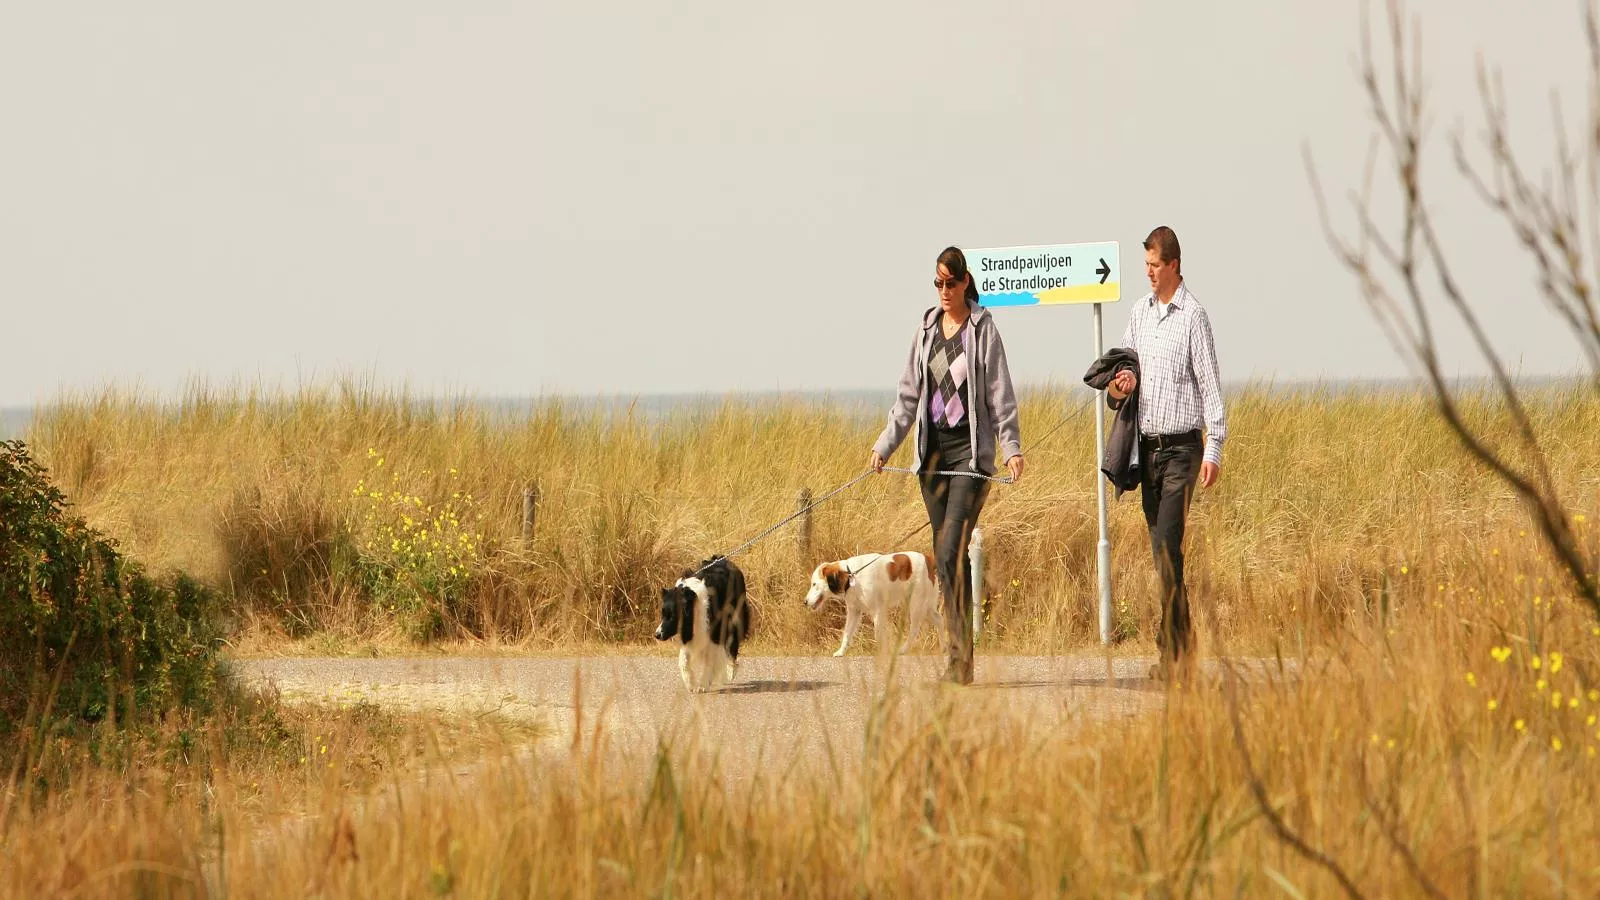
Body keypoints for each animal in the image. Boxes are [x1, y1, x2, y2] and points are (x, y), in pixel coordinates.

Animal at [652, 554, 752, 695]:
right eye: (663, 615)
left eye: (672, 617)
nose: (657, 635)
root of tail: (724, 559)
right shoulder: (690, 633)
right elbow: (683, 660)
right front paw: (691, 684)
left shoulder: (713, 632)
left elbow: (709, 660)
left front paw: (703, 685)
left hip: (734, 617)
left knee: (732, 645)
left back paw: (730, 671)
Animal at [800, 547, 934, 650]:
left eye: (814, 584)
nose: (805, 602)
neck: (851, 576)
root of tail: (926, 558)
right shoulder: (854, 612)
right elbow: (847, 634)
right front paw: (840, 652)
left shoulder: (878, 612)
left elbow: (879, 636)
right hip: (925, 607)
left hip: (916, 605)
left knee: (915, 629)